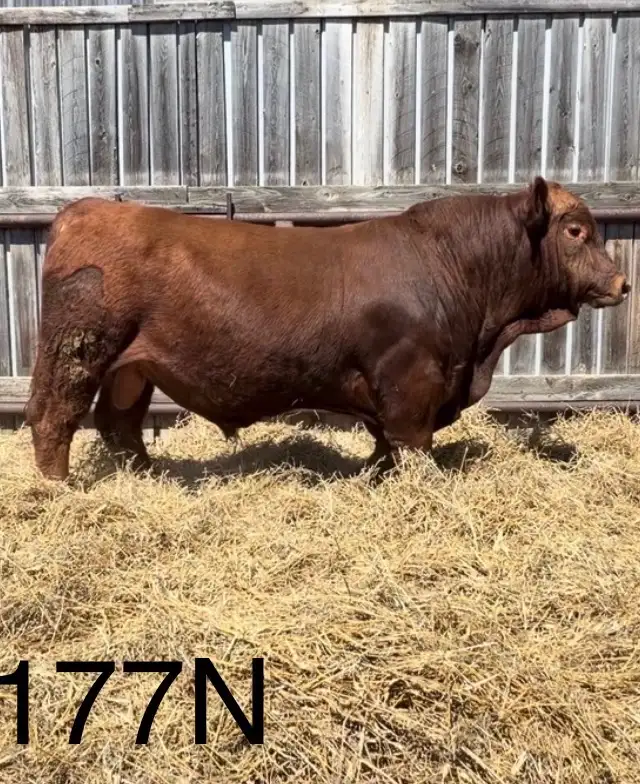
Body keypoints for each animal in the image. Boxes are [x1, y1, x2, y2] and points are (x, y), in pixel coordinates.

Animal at [25, 177, 629, 481]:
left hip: (133, 366)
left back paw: (145, 478)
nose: (622, 283)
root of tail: (82, 210)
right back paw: (61, 488)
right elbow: (413, 443)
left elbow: (384, 443)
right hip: (77, 351)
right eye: (575, 231)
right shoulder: (412, 382)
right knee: (54, 415)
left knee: (119, 423)